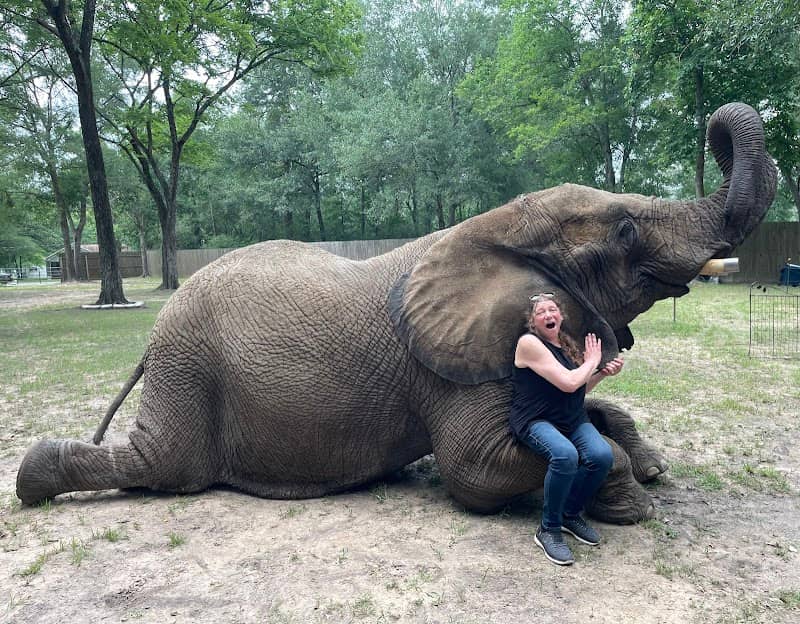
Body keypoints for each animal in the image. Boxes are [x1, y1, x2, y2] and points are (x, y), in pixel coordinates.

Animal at [16, 102, 776, 524]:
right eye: (623, 231)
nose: (716, 129)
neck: (497, 226)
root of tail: (154, 334)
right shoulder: (455, 364)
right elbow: (474, 469)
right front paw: (635, 506)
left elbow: (588, 413)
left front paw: (651, 467)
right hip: (189, 363)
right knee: (165, 466)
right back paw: (32, 480)